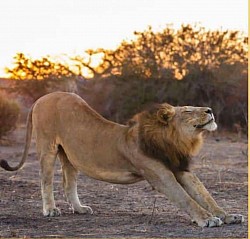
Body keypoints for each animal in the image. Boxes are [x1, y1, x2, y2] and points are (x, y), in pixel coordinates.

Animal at [0, 92, 243, 228]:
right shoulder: (160, 175)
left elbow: (205, 195)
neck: (175, 141)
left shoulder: (181, 170)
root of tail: (41, 98)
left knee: (69, 184)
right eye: (188, 111)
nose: (210, 110)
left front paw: (227, 216)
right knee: (46, 181)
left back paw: (80, 209)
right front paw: (206, 219)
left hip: (69, 155)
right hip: (47, 146)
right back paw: (50, 210)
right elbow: (185, 198)